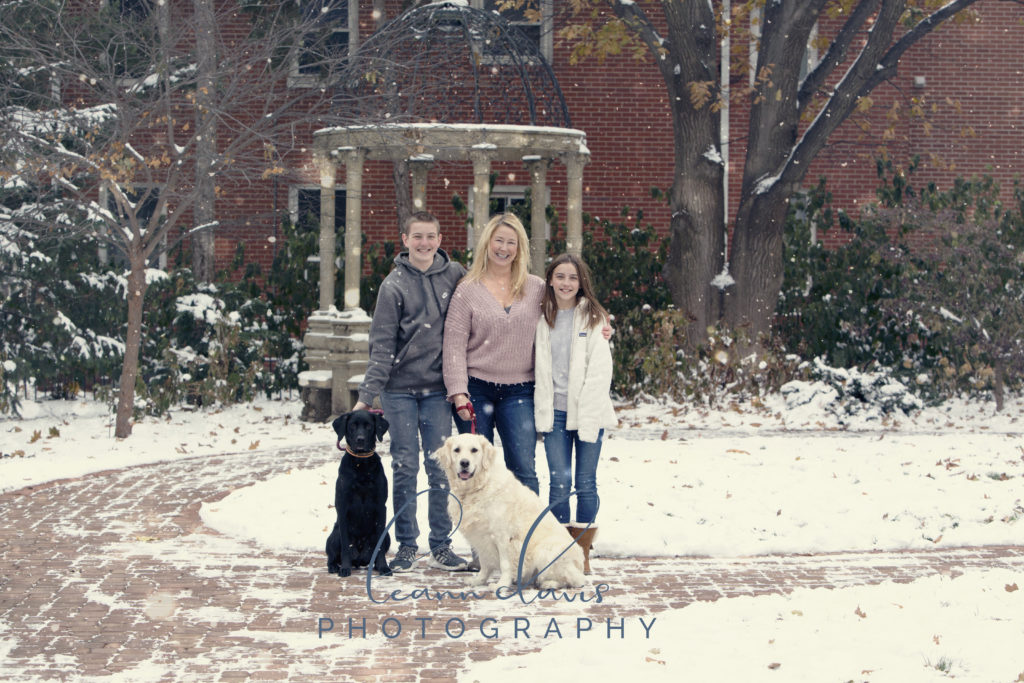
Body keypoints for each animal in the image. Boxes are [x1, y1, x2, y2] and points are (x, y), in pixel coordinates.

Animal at [327, 411, 391, 577]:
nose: (360, 439)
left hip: (387, 535)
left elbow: (379, 547)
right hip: (333, 535)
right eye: (352, 426)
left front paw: (383, 567)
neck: (361, 465)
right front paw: (345, 568)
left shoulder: (381, 507)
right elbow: (346, 546)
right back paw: (334, 566)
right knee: (331, 555)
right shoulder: (342, 507)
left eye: (368, 426)